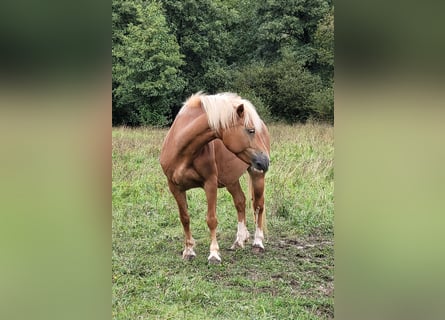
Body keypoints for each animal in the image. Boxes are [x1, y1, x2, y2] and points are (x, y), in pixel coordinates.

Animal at [160, 92, 270, 262]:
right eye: (251, 130)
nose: (265, 161)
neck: (182, 150)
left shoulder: (210, 184)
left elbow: (211, 219)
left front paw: (214, 254)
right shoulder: (175, 187)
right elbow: (184, 217)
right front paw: (188, 251)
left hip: (257, 175)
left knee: (258, 206)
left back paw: (257, 243)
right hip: (231, 180)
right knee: (240, 202)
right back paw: (239, 240)